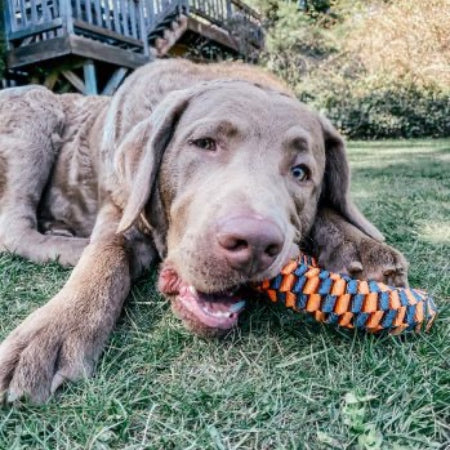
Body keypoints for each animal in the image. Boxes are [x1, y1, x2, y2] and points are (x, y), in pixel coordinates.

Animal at [0, 58, 408, 402]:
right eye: (204, 144)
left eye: (300, 172)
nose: (254, 242)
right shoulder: (119, 205)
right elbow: (105, 255)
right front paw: (52, 330)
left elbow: (328, 209)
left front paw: (363, 250)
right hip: (34, 116)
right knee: (14, 227)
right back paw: (69, 248)